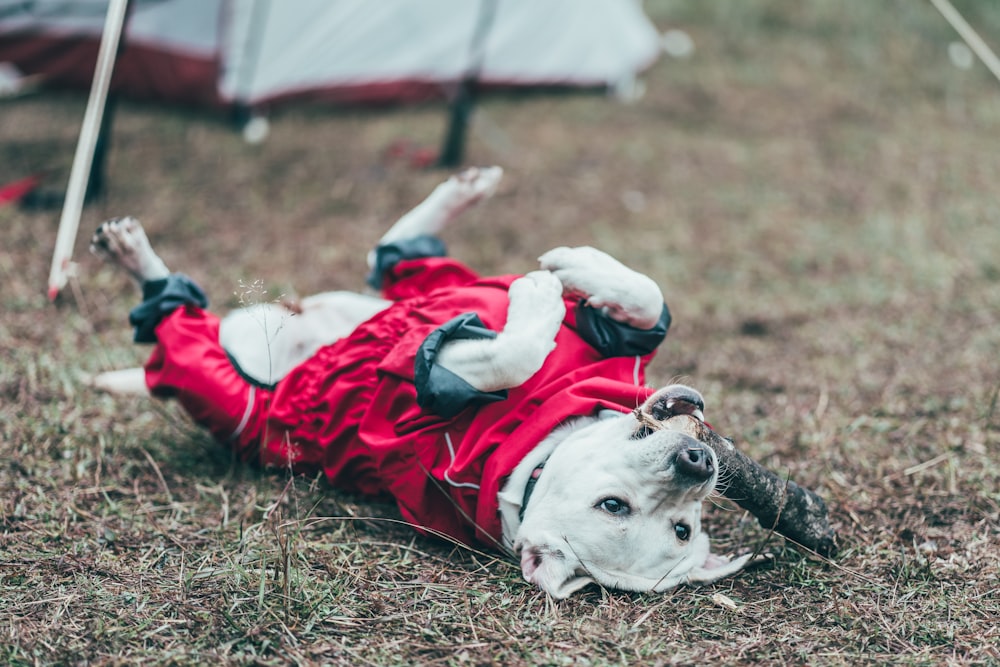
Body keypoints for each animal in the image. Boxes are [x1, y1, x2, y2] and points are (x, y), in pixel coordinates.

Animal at [92, 167, 756, 600]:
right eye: (614, 505)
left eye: (681, 528)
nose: (698, 461)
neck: (535, 448)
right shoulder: (604, 339)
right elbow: (646, 298)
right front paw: (563, 275)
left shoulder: (415, 404)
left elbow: (507, 353)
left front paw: (538, 298)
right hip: (419, 282)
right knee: (396, 255)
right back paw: (466, 192)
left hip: (229, 394)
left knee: (177, 323)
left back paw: (134, 256)